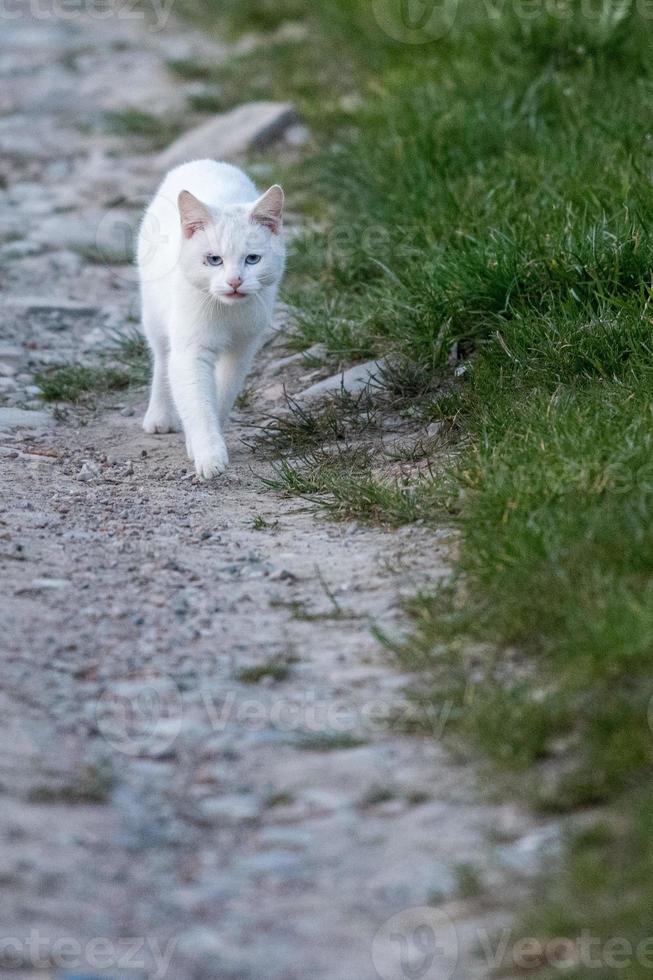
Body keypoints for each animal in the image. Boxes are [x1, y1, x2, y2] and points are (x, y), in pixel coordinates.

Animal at [138, 158, 286, 478]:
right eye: (214, 260)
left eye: (252, 259)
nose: (234, 281)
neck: (226, 311)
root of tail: (202, 161)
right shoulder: (190, 351)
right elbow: (196, 402)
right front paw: (208, 454)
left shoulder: (242, 349)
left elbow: (221, 395)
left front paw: (201, 444)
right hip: (154, 314)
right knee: (162, 359)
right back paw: (159, 416)